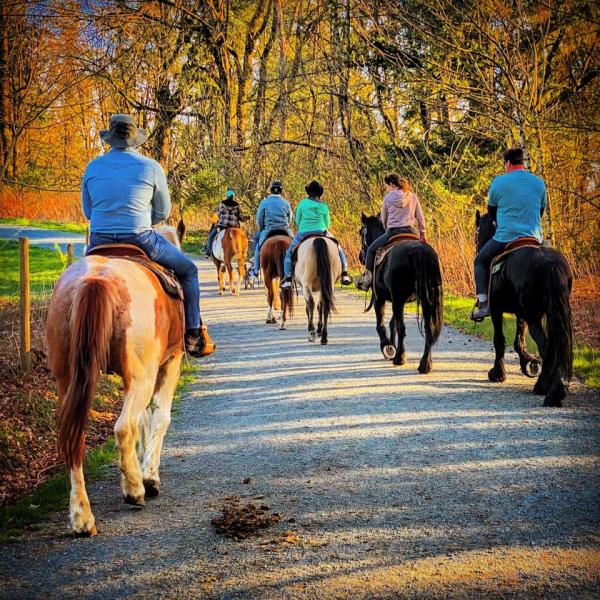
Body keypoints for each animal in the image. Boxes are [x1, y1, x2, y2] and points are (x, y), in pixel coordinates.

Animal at [47, 223, 185, 536]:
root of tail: (96, 279)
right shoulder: (170, 363)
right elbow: (159, 418)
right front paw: (149, 476)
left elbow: (145, 421)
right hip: (142, 377)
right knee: (123, 428)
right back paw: (134, 490)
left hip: (68, 380)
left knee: (74, 439)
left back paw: (82, 518)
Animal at [358, 213, 442, 372]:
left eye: (361, 233)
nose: (361, 256)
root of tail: (418, 252)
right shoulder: (398, 301)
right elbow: (393, 323)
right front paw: (392, 346)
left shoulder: (380, 299)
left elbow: (382, 324)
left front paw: (388, 347)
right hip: (426, 301)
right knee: (428, 329)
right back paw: (425, 364)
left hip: (397, 299)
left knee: (402, 328)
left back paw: (400, 358)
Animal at [476, 209, 576, 406]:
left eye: (477, 234)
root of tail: (549, 264)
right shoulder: (520, 313)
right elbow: (518, 340)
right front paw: (528, 363)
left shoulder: (497, 310)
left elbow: (499, 341)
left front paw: (497, 373)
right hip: (548, 314)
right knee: (554, 346)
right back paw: (551, 387)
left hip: (534, 315)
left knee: (546, 345)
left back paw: (547, 389)